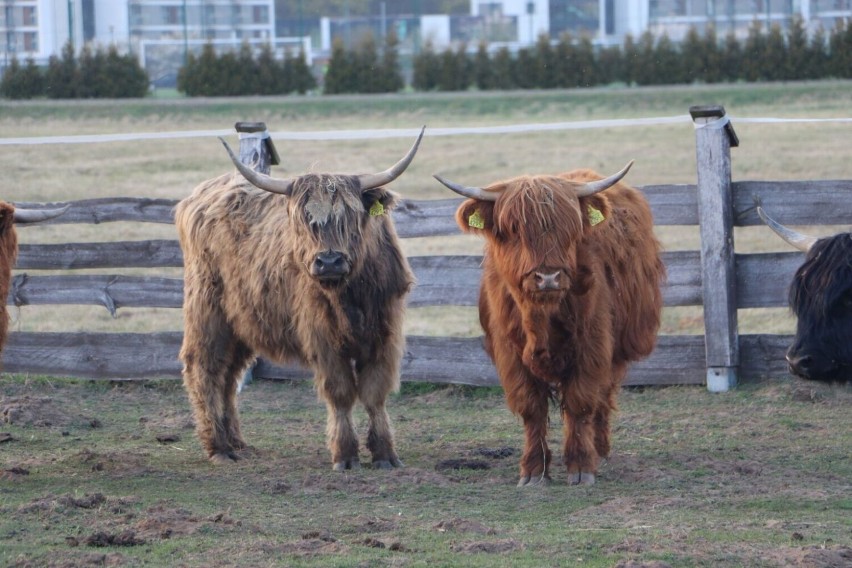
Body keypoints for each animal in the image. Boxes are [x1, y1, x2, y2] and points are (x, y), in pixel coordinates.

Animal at [176, 130, 422, 470]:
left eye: (350, 216)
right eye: (304, 221)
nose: (329, 261)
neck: (351, 297)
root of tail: (199, 194)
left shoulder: (385, 333)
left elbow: (374, 392)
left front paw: (385, 454)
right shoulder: (322, 337)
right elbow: (341, 392)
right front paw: (345, 455)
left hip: (242, 321)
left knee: (228, 375)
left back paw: (236, 441)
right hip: (207, 310)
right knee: (204, 367)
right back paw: (219, 448)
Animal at [432, 162, 664, 486]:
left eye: (570, 229)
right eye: (514, 230)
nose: (549, 277)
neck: (539, 317)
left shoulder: (593, 346)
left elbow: (581, 402)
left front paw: (581, 466)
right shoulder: (509, 354)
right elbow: (531, 408)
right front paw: (533, 471)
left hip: (618, 346)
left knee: (604, 395)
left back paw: (600, 449)